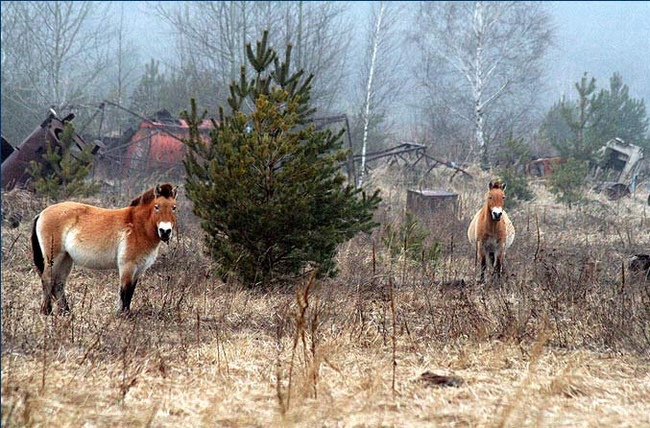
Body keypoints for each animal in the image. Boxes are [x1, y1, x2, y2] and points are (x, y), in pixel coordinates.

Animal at [30, 181, 177, 314]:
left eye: (174, 207)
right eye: (157, 206)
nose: (165, 231)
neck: (137, 226)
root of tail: (41, 213)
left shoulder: (139, 269)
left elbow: (130, 292)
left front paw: (127, 314)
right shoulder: (127, 266)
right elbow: (124, 292)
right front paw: (122, 315)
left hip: (66, 259)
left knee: (58, 284)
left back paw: (66, 312)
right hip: (53, 258)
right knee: (47, 280)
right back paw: (46, 312)